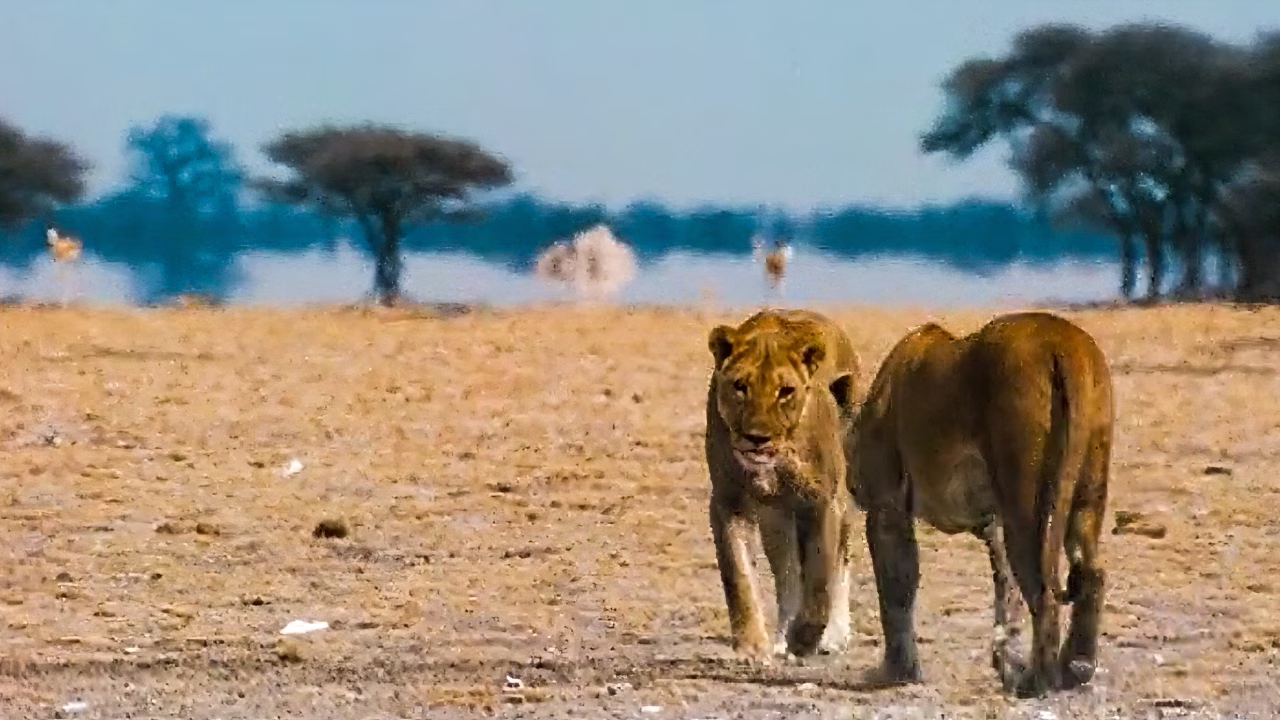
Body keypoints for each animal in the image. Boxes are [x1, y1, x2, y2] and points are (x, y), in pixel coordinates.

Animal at [704, 308, 861, 660]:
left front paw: (807, 638)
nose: (757, 438)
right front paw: (751, 644)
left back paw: (832, 636)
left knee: (839, 561)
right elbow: (738, 575)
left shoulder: (821, 500)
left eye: (785, 391)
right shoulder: (727, 501)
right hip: (776, 518)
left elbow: (820, 576)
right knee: (788, 575)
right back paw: (780, 639)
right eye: (740, 387)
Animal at [846, 311, 1113, 697]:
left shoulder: (887, 504)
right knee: (1090, 570)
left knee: (1044, 590)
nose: (853, 487)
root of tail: (1063, 343)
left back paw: (1037, 681)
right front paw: (1005, 659)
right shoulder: (992, 519)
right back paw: (1076, 667)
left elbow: (897, 587)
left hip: (1024, 494)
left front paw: (897, 671)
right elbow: (1006, 592)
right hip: (1088, 480)